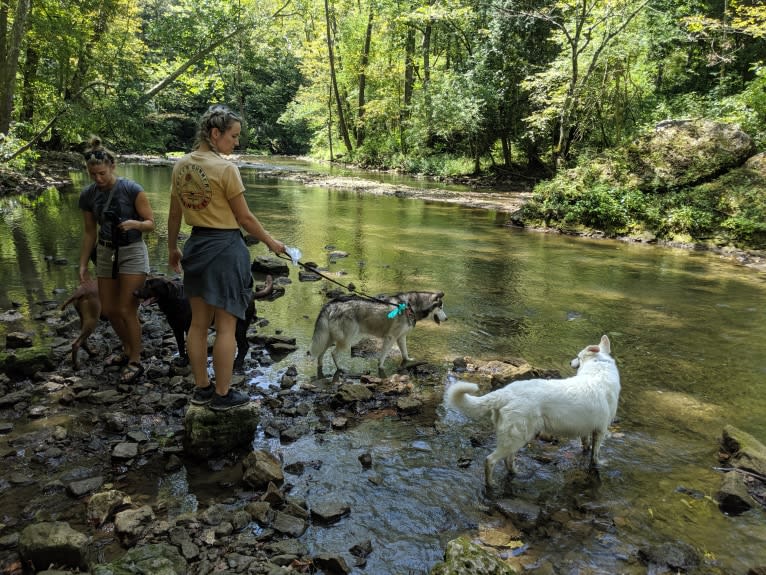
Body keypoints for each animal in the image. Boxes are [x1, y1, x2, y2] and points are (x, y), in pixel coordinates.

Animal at [135, 274, 272, 368]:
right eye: (146, 283)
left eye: (151, 285)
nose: (134, 292)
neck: (176, 300)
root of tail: (251, 294)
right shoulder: (176, 328)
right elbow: (180, 346)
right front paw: (182, 360)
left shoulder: (189, 328)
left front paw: (188, 361)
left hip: (239, 327)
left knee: (244, 346)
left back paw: (237, 363)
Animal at [308, 290, 448, 380]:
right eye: (440, 307)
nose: (447, 318)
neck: (409, 306)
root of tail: (331, 303)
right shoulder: (390, 338)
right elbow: (382, 357)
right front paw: (381, 368)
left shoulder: (401, 337)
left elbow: (404, 352)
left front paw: (408, 360)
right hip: (347, 340)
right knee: (333, 353)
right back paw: (340, 368)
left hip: (329, 339)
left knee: (320, 354)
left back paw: (321, 367)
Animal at [448, 336, 620, 488]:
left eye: (578, 357)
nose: (570, 362)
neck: (599, 367)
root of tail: (505, 392)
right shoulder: (600, 430)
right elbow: (595, 454)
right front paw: (598, 463)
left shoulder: (587, 428)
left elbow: (586, 445)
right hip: (517, 437)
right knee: (490, 460)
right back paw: (491, 484)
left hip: (515, 437)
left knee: (508, 460)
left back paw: (517, 474)